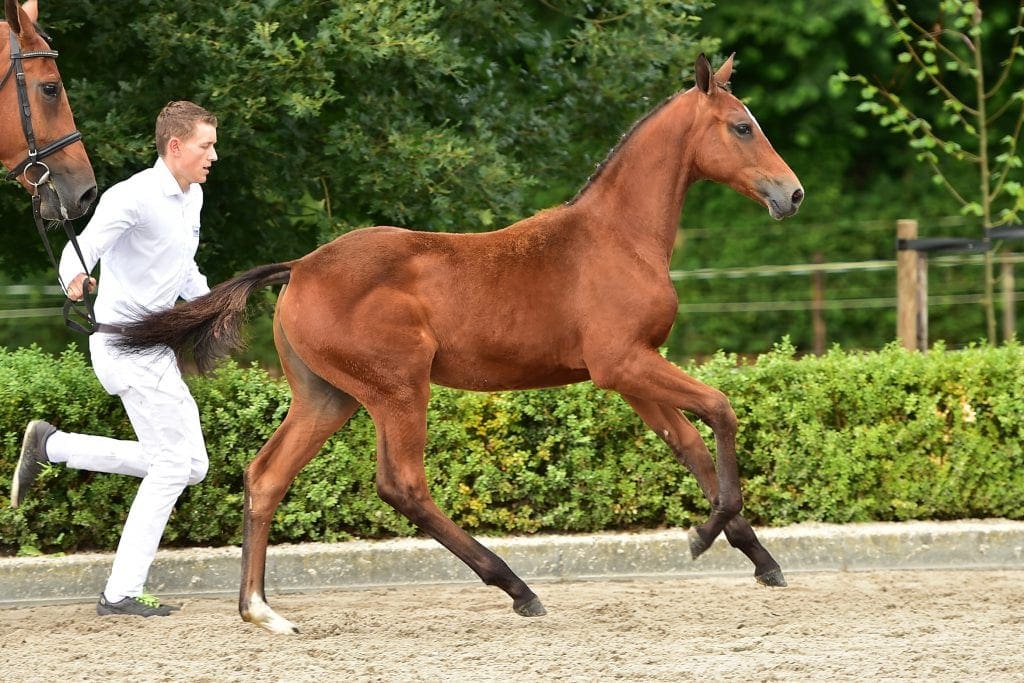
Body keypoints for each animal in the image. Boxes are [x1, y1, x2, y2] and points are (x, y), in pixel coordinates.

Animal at [116, 53, 804, 635]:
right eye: (742, 126)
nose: (791, 193)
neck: (619, 236)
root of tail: (300, 269)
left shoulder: (632, 370)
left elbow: (688, 443)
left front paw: (757, 556)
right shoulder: (624, 363)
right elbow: (720, 411)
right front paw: (706, 534)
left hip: (327, 397)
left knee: (265, 476)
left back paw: (260, 611)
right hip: (398, 388)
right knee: (403, 485)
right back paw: (518, 589)